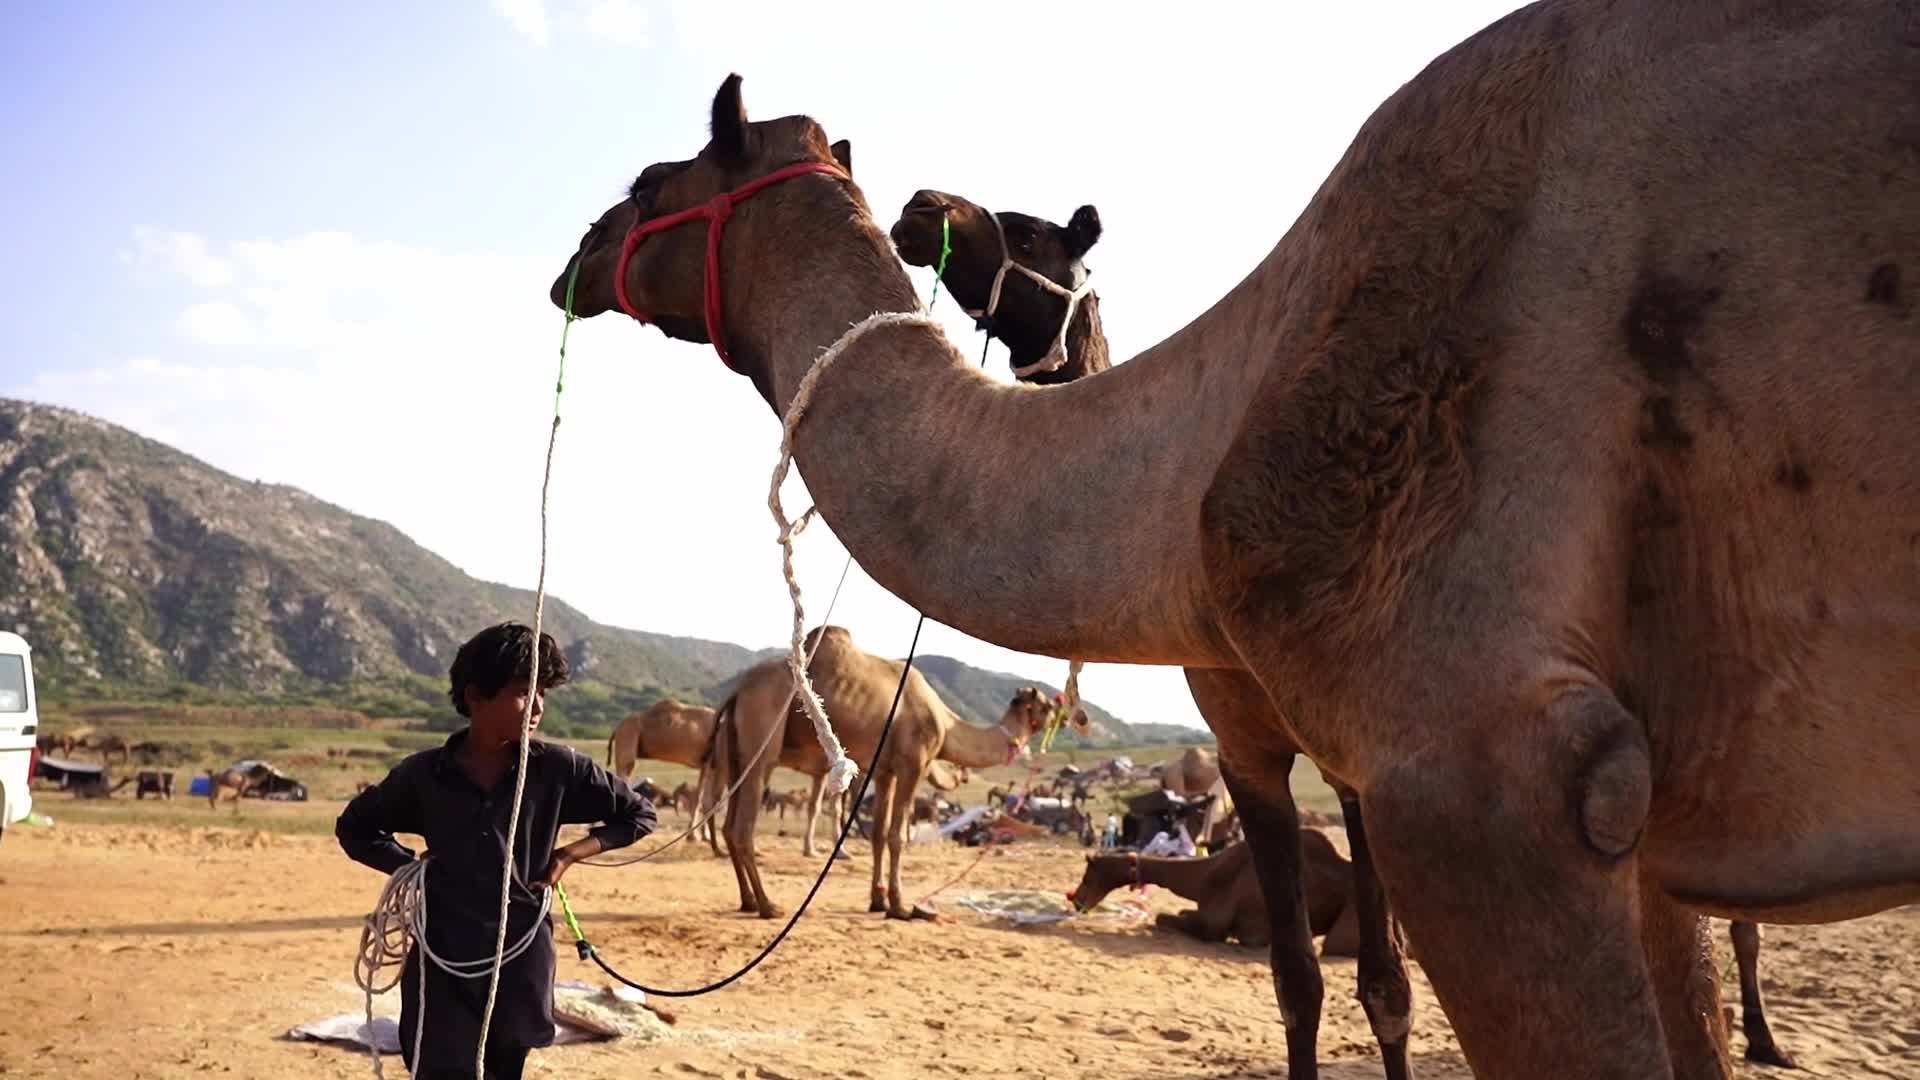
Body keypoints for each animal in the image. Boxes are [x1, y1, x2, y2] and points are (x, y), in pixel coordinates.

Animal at [606, 699, 726, 855]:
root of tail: (617, 728)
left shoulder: (708, 764)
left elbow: (703, 799)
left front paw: (702, 837)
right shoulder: (710, 760)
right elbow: (701, 799)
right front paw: (693, 837)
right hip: (627, 737)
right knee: (624, 771)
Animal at [712, 625, 1043, 919]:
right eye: (1044, 705)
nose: (1061, 712)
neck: (946, 725)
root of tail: (738, 692)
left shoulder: (884, 771)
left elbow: (878, 834)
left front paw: (877, 901)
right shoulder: (912, 764)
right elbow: (897, 835)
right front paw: (899, 906)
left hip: (736, 753)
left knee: (728, 825)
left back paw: (748, 901)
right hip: (762, 739)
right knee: (743, 828)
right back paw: (767, 906)